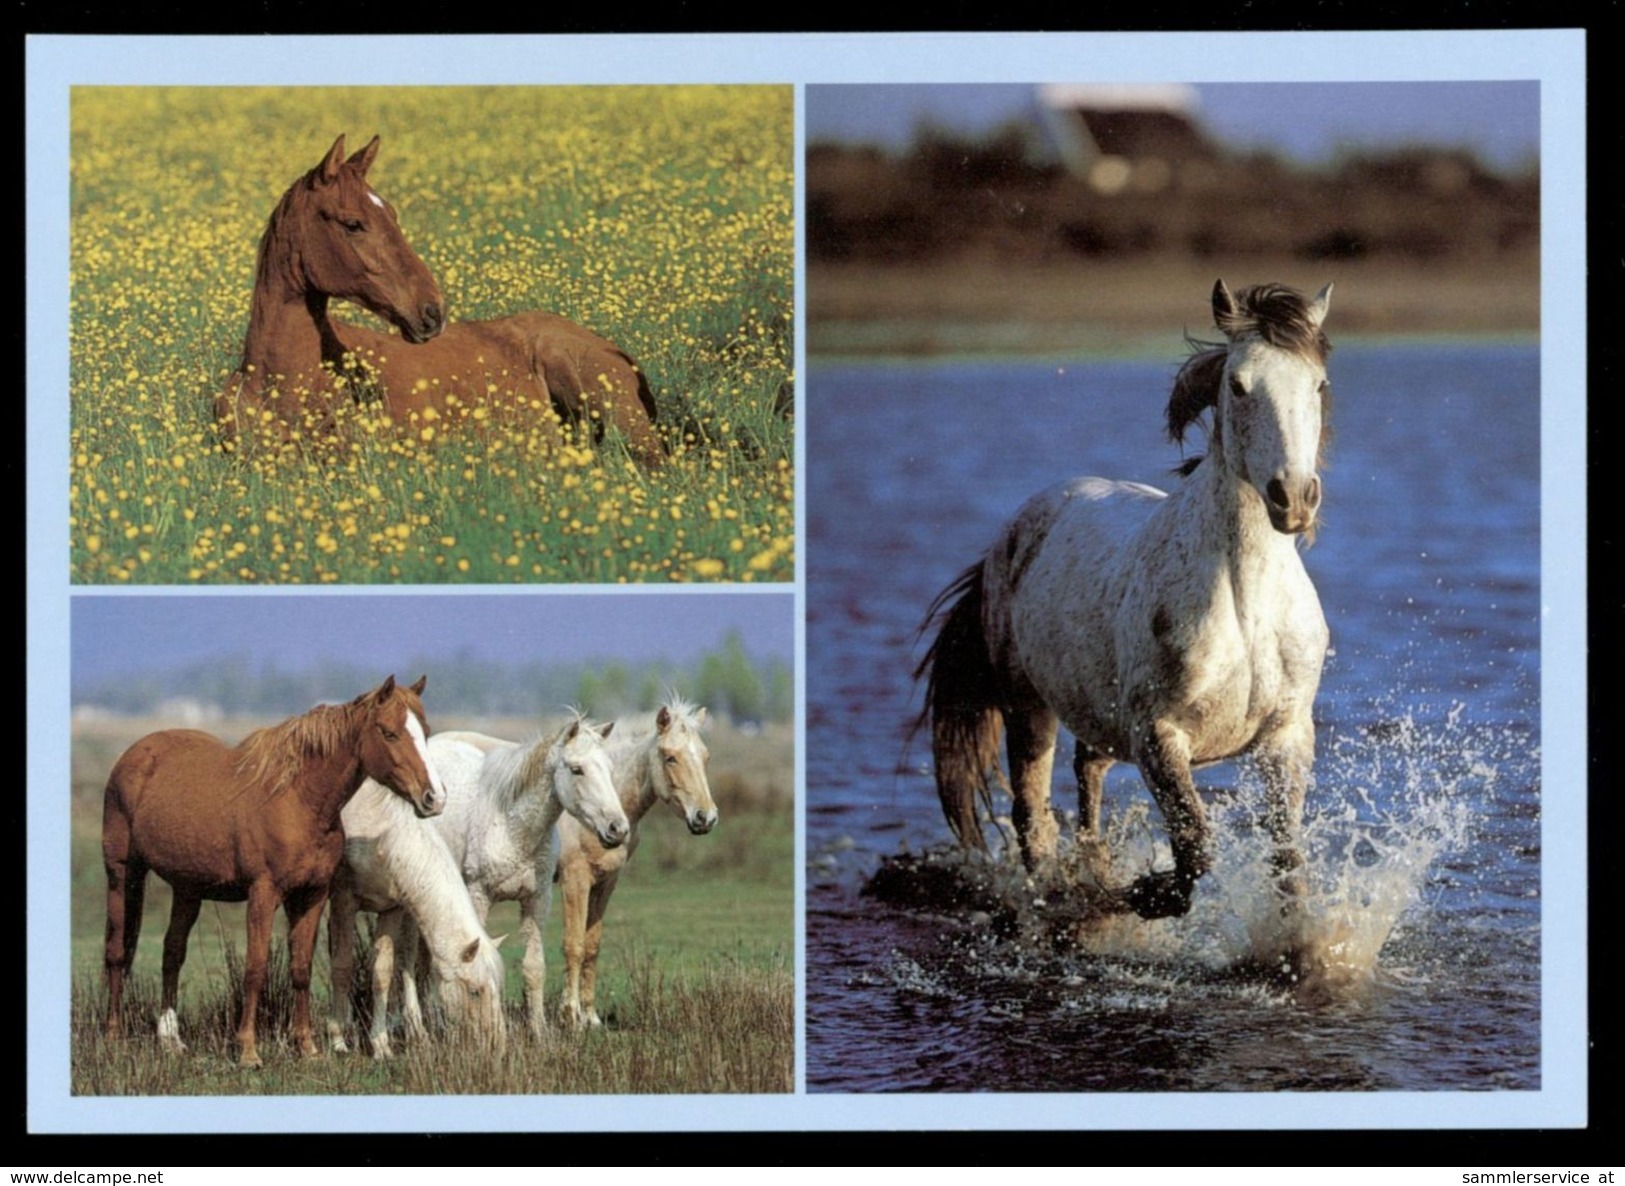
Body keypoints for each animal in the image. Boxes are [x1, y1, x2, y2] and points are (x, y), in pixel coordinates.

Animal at [102, 669, 448, 1065]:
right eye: (388, 732)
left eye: (425, 730)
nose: (434, 798)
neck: (298, 800)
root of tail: (134, 756)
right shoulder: (263, 894)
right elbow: (256, 969)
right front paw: (248, 1050)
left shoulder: (312, 896)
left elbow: (301, 968)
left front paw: (308, 1047)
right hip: (122, 875)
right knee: (117, 953)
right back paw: (112, 1035)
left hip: (187, 889)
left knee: (172, 953)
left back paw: (170, 1038)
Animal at [323, 776, 507, 1052]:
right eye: (475, 992)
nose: (498, 1045)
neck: (380, 836)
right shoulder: (343, 902)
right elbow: (342, 968)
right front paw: (337, 1040)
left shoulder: (391, 909)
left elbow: (383, 973)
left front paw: (380, 1044)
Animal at [555, 692, 715, 1026]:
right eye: (670, 757)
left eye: (705, 757)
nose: (705, 818)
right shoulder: (574, 880)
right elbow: (574, 945)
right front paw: (570, 1017)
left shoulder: (606, 881)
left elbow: (592, 945)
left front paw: (590, 1018)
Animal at [916, 281, 1332, 916]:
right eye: (1238, 385)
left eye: (1319, 384)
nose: (1293, 498)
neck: (1246, 607)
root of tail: (1007, 538)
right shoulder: (1159, 738)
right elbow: (1194, 850)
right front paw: (1140, 894)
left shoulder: (1286, 739)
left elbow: (1288, 863)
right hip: (1027, 709)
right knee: (1033, 820)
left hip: (1096, 720)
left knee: (1087, 778)